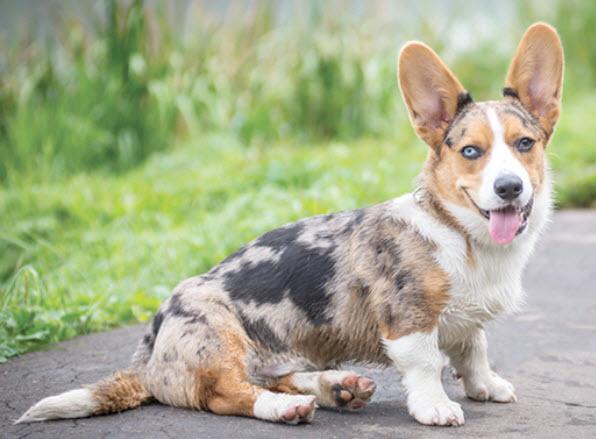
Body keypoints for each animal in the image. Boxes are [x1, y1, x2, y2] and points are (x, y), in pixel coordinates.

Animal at [15, 22, 564, 428]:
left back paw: (335, 387)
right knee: (228, 394)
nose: (509, 188)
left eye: (524, 144)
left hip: (277, 355)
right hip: (218, 337)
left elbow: (474, 349)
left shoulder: (465, 321)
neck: (463, 236)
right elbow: (428, 362)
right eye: (471, 151)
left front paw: (486, 387)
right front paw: (436, 407)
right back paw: (288, 407)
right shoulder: (410, 318)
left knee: (271, 377)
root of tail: (148, 358)